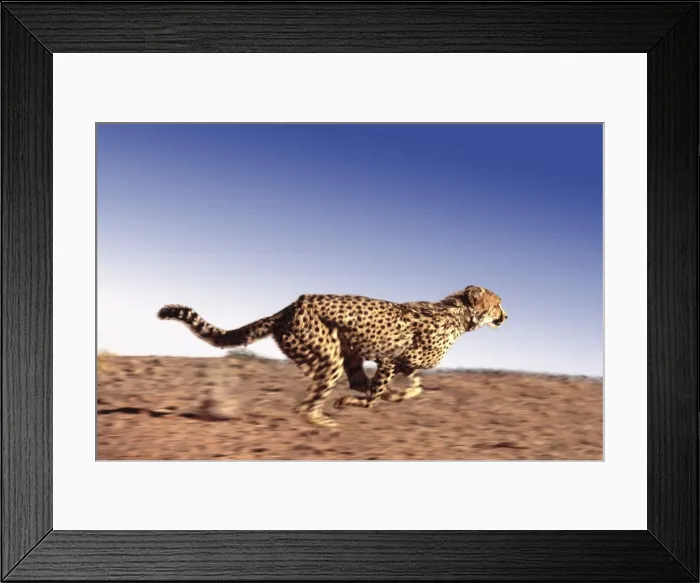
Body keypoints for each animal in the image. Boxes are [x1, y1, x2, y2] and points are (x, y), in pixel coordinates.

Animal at [157, 285, 507, 428]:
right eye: (497, 304)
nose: (506, 316)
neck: (459, 316)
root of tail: (289, 307)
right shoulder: (390, 360)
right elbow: (373, 398)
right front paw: (357, 402)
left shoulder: (403, 365)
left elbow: (413, 387)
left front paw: (399, 395)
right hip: (328, 360)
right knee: (305, 406)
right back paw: (324, 419)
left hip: (344, 354)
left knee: (352, 383)